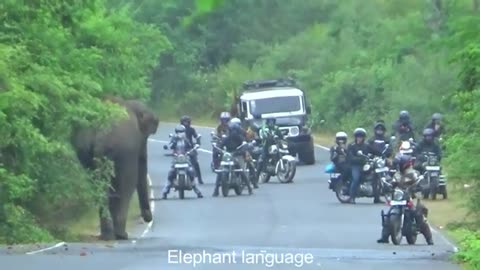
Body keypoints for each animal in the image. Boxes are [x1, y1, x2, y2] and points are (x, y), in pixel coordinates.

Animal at [71, 97, 159, 240]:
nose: (148, 219)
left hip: (85, 150)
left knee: (99, 189)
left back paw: (107, 236)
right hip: (121, 149)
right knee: (126, 186)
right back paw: (121, 235)